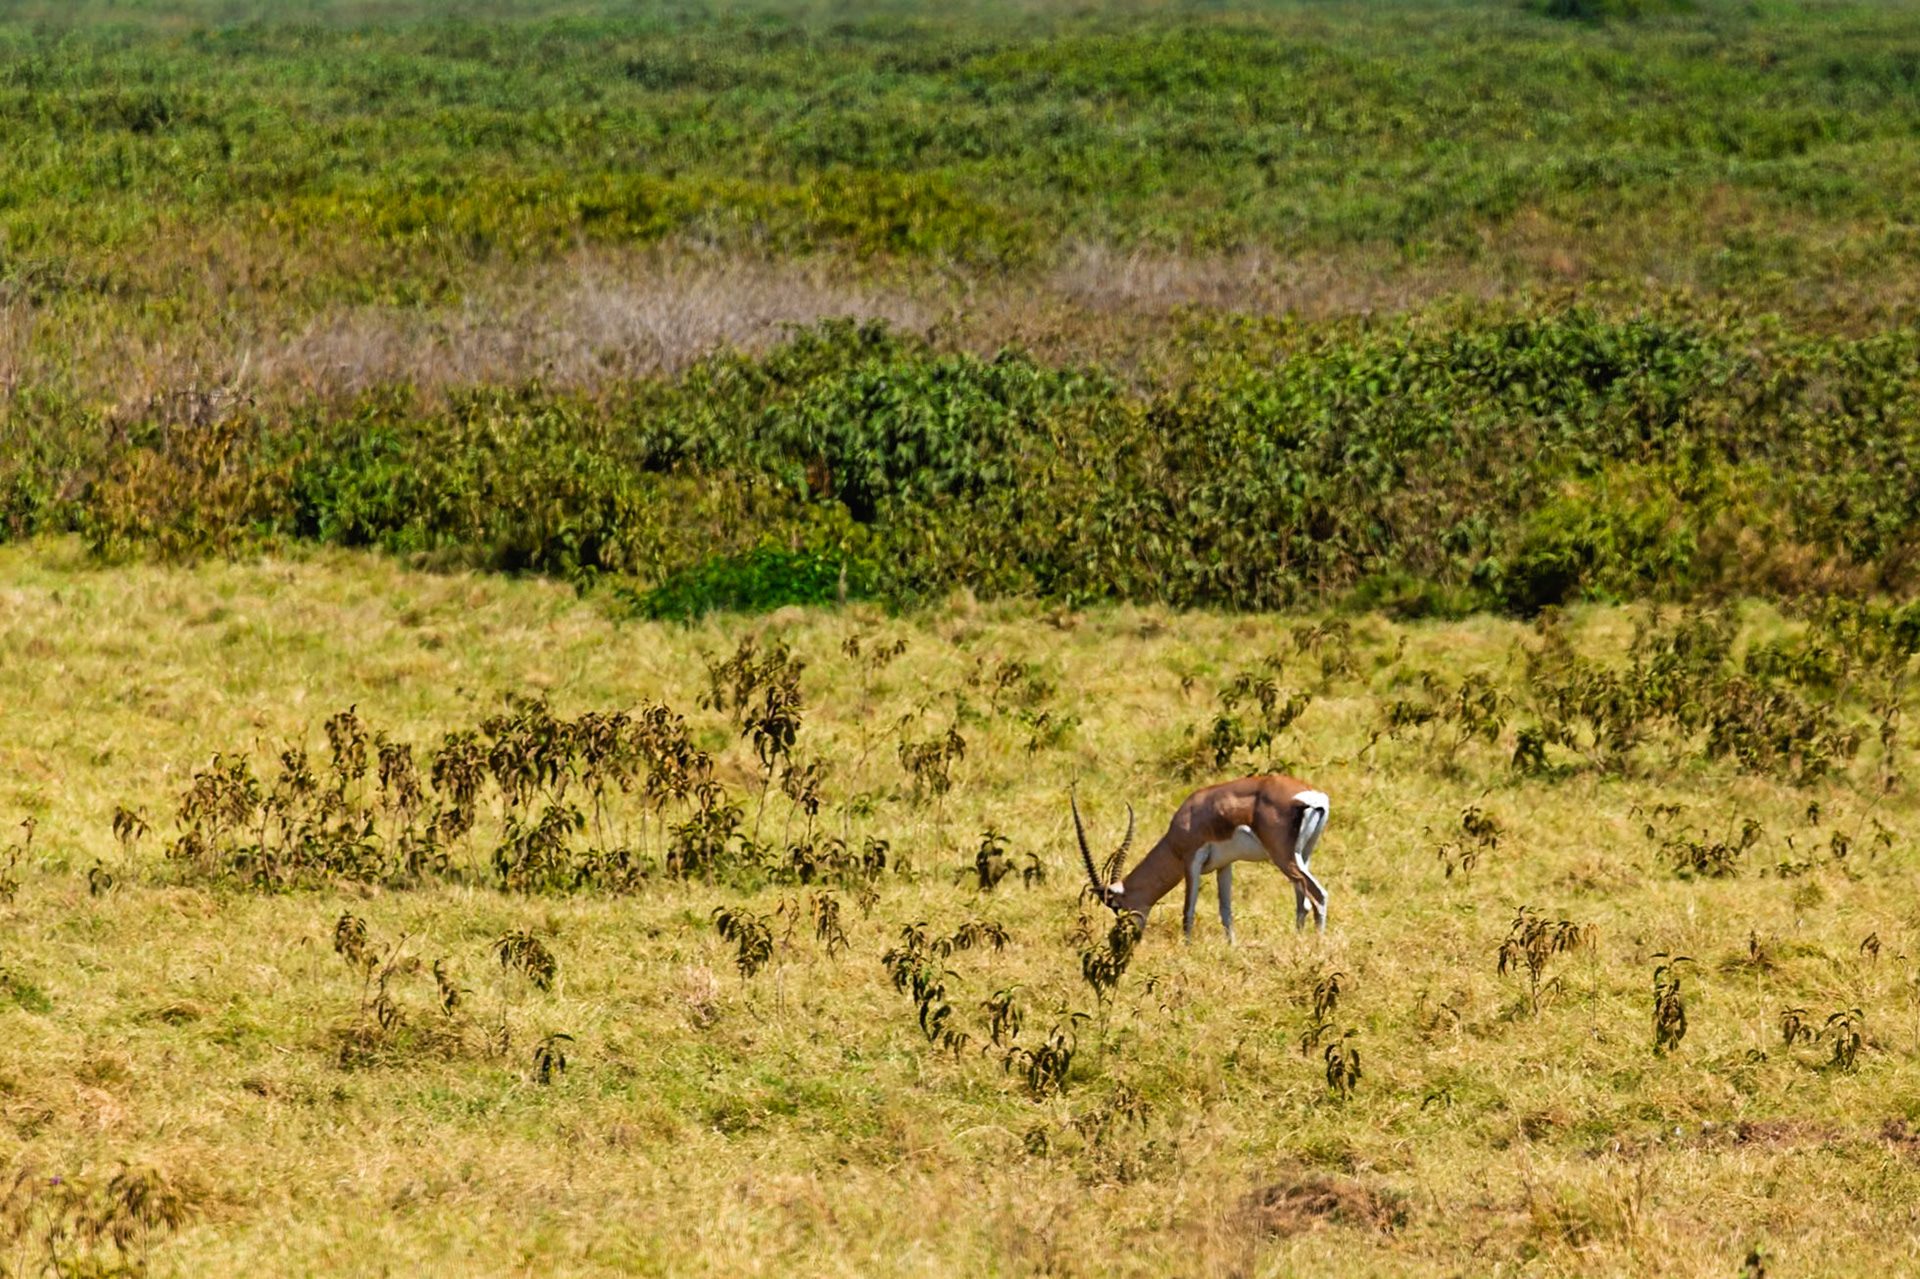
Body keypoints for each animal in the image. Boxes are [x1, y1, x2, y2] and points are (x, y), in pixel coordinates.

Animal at [1073, 775, 1330, 942]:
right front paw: (1231, 946)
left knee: (1317, 896)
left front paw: (1186, 947)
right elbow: (1225, 910)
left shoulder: (1191, 861)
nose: (1130, 937)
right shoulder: (1224, 866)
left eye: (1116, 906)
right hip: (1303, 855)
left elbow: (1188, 909)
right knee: (1303, 901)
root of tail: (1312, 796)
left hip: (1283, 856)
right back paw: (1298, 941)